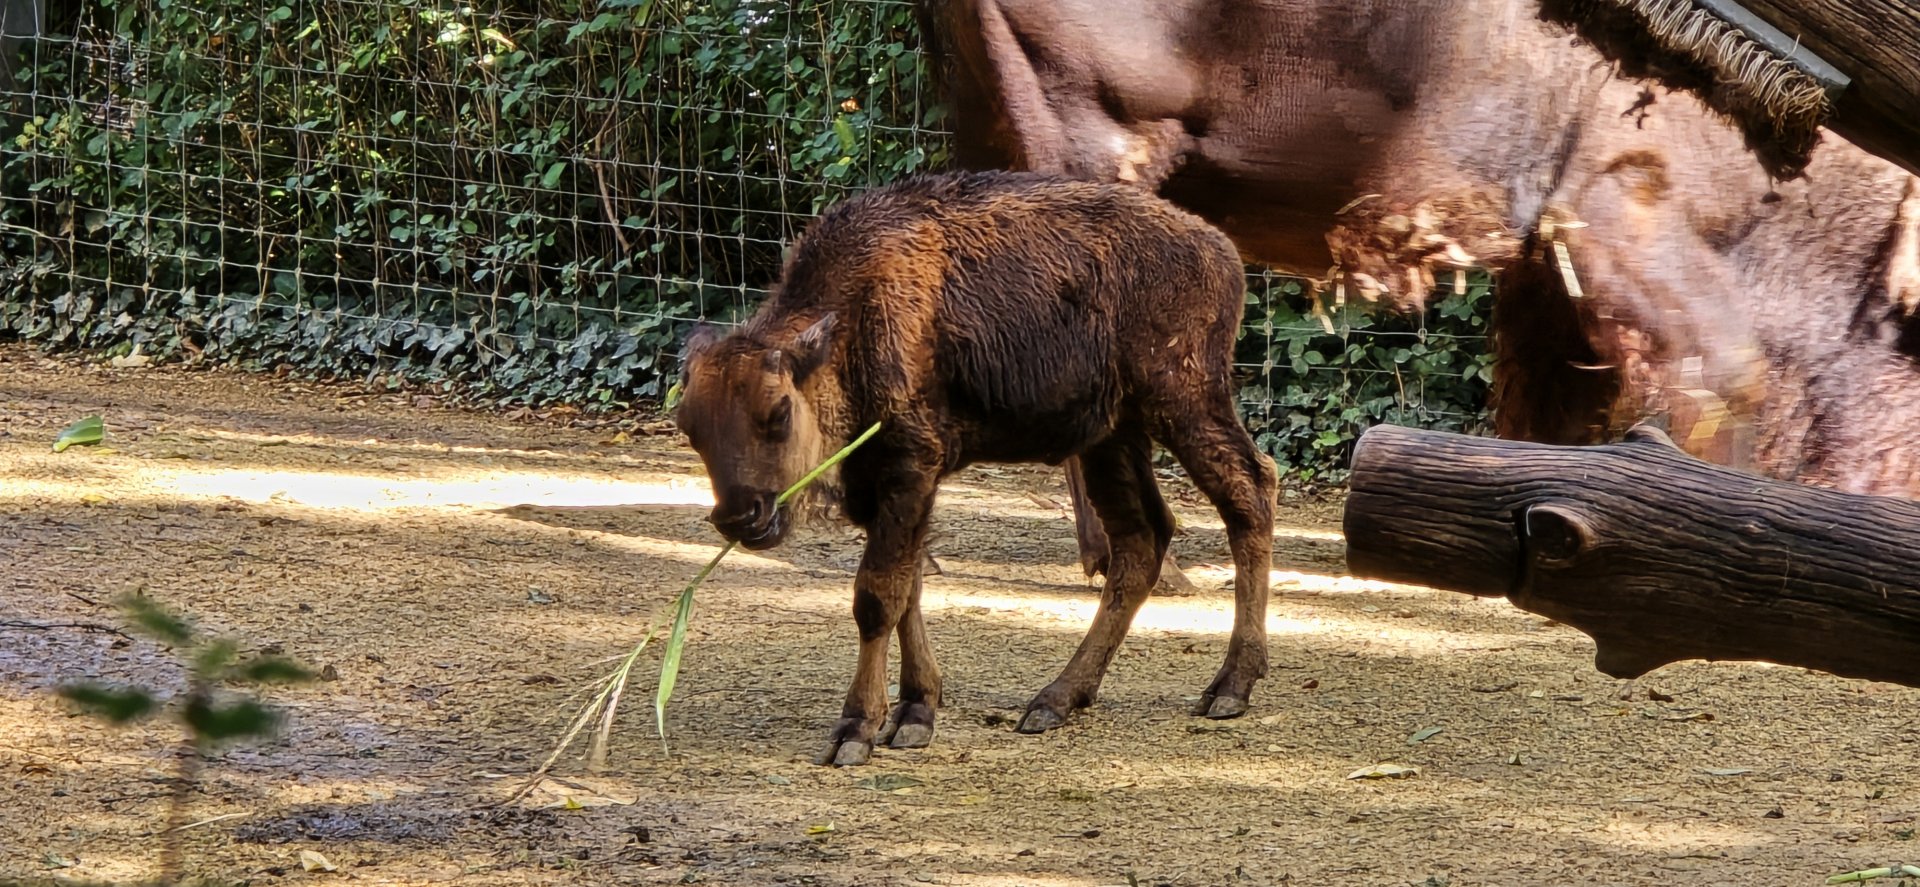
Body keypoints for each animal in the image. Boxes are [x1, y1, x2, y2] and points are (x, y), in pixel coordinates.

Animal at [675, 170, 1278, 766]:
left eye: (778, 412)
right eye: (688, 425)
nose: (740, 517)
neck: (851, 324)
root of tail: (1220, 249)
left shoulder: (908, 469)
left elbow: (877, 596)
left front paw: (857, 730)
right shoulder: (884, 489)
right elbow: (908, 590)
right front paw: (916, 711)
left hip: (1183, 403)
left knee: (1249, 494)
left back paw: (1229, 688)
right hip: (1111, 436)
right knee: (1141, 540)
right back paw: (1056, 699)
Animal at [916, 0, 1920, 570]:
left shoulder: (1544, 268)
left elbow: (1546, 400)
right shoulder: (1626, 224)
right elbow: (1726, 380)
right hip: (1091, 142)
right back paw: (1143, 562)